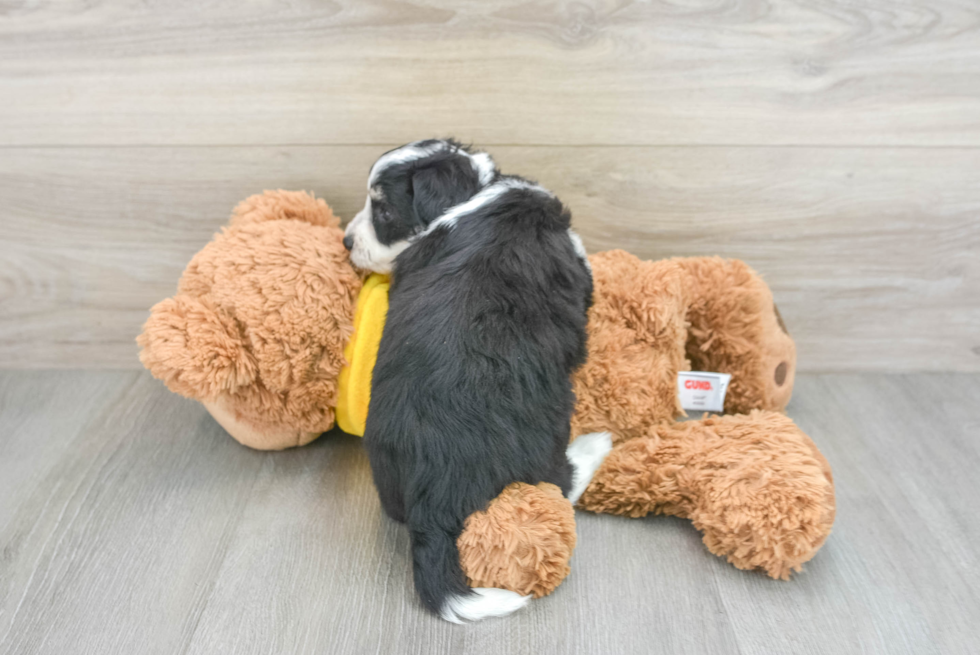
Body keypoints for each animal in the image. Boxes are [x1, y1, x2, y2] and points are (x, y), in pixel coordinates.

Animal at [344, 141, 612, 624]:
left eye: (384, 210)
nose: (345, 242)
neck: (475, 193)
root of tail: (434, 500)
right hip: (547, 433)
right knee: (560, 484)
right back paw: (595, 446)